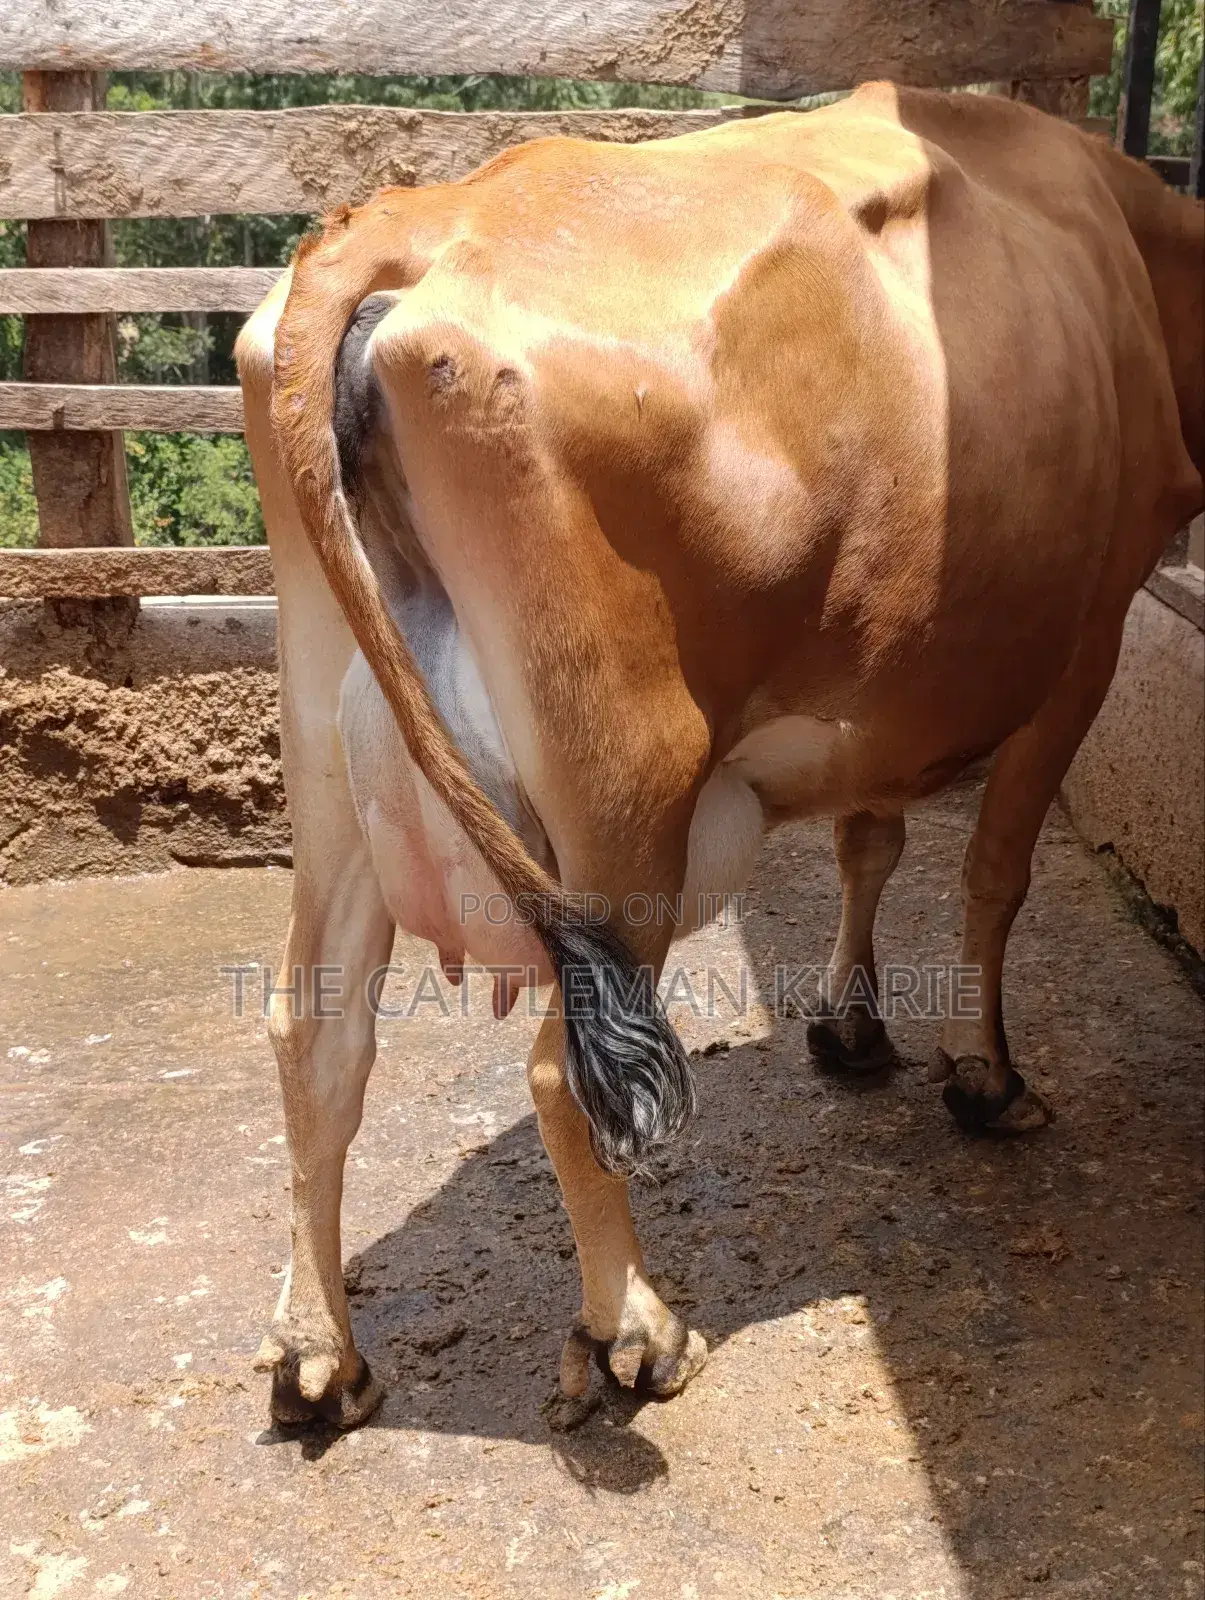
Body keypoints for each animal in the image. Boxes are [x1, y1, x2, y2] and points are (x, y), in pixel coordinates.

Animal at [235, 82, 1203, 1429]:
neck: (1134, 253)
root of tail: (409, 221)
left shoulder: (886, 677)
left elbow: (869, 837)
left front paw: (850, 1024)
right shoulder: (1087, 640)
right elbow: (992, 874)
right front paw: (985, 1074)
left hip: (331, 761)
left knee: (315, 1037)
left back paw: (319, 1351)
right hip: (624, 791)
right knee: (557, 1071)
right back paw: (633, 1328)